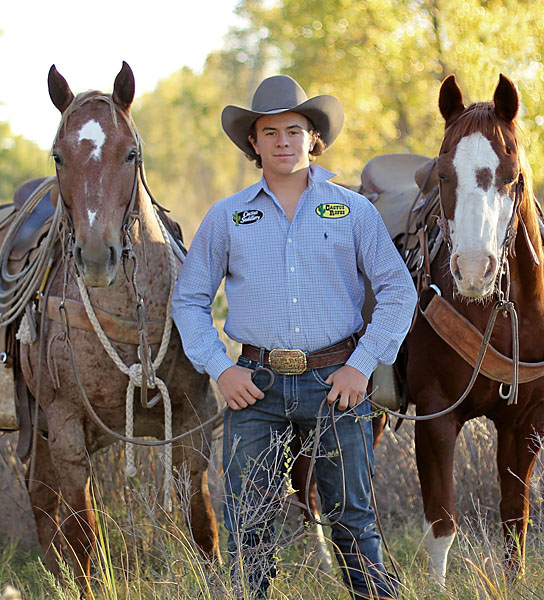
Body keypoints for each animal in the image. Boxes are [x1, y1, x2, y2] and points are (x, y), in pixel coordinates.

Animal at [3, 62, 220, 590]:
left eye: (130, 154)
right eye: (58, 156)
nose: (97, 256)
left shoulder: (194, 420)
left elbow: (202, 524)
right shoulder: (65, 429)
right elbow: (84, 537)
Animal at [404, 74, 544, 584]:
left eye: (512, 175)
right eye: (444, 175)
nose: (472, 270)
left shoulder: (525, 424)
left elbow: (514, 519)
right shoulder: (436, 415)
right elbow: (442, 524)